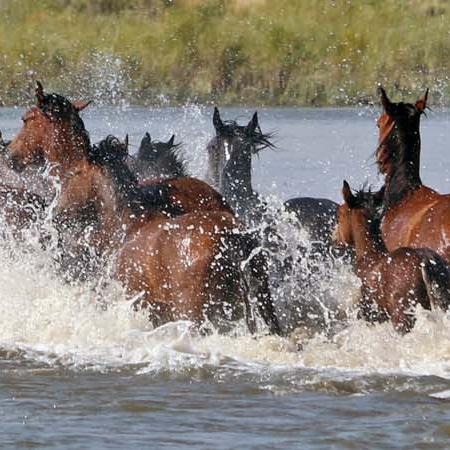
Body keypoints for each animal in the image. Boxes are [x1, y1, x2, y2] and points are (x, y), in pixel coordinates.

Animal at [55, 135, 282, 332]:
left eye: (75, 173)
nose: (58, 212)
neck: (134, 222)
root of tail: (230, 237)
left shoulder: (144, 304)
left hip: (193, 315)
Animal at [334, 181, 450, 332]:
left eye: (340, 214)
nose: (334, 237)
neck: (370, 258)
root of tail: (424, 261)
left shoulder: (370, 314)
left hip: (403, 317)